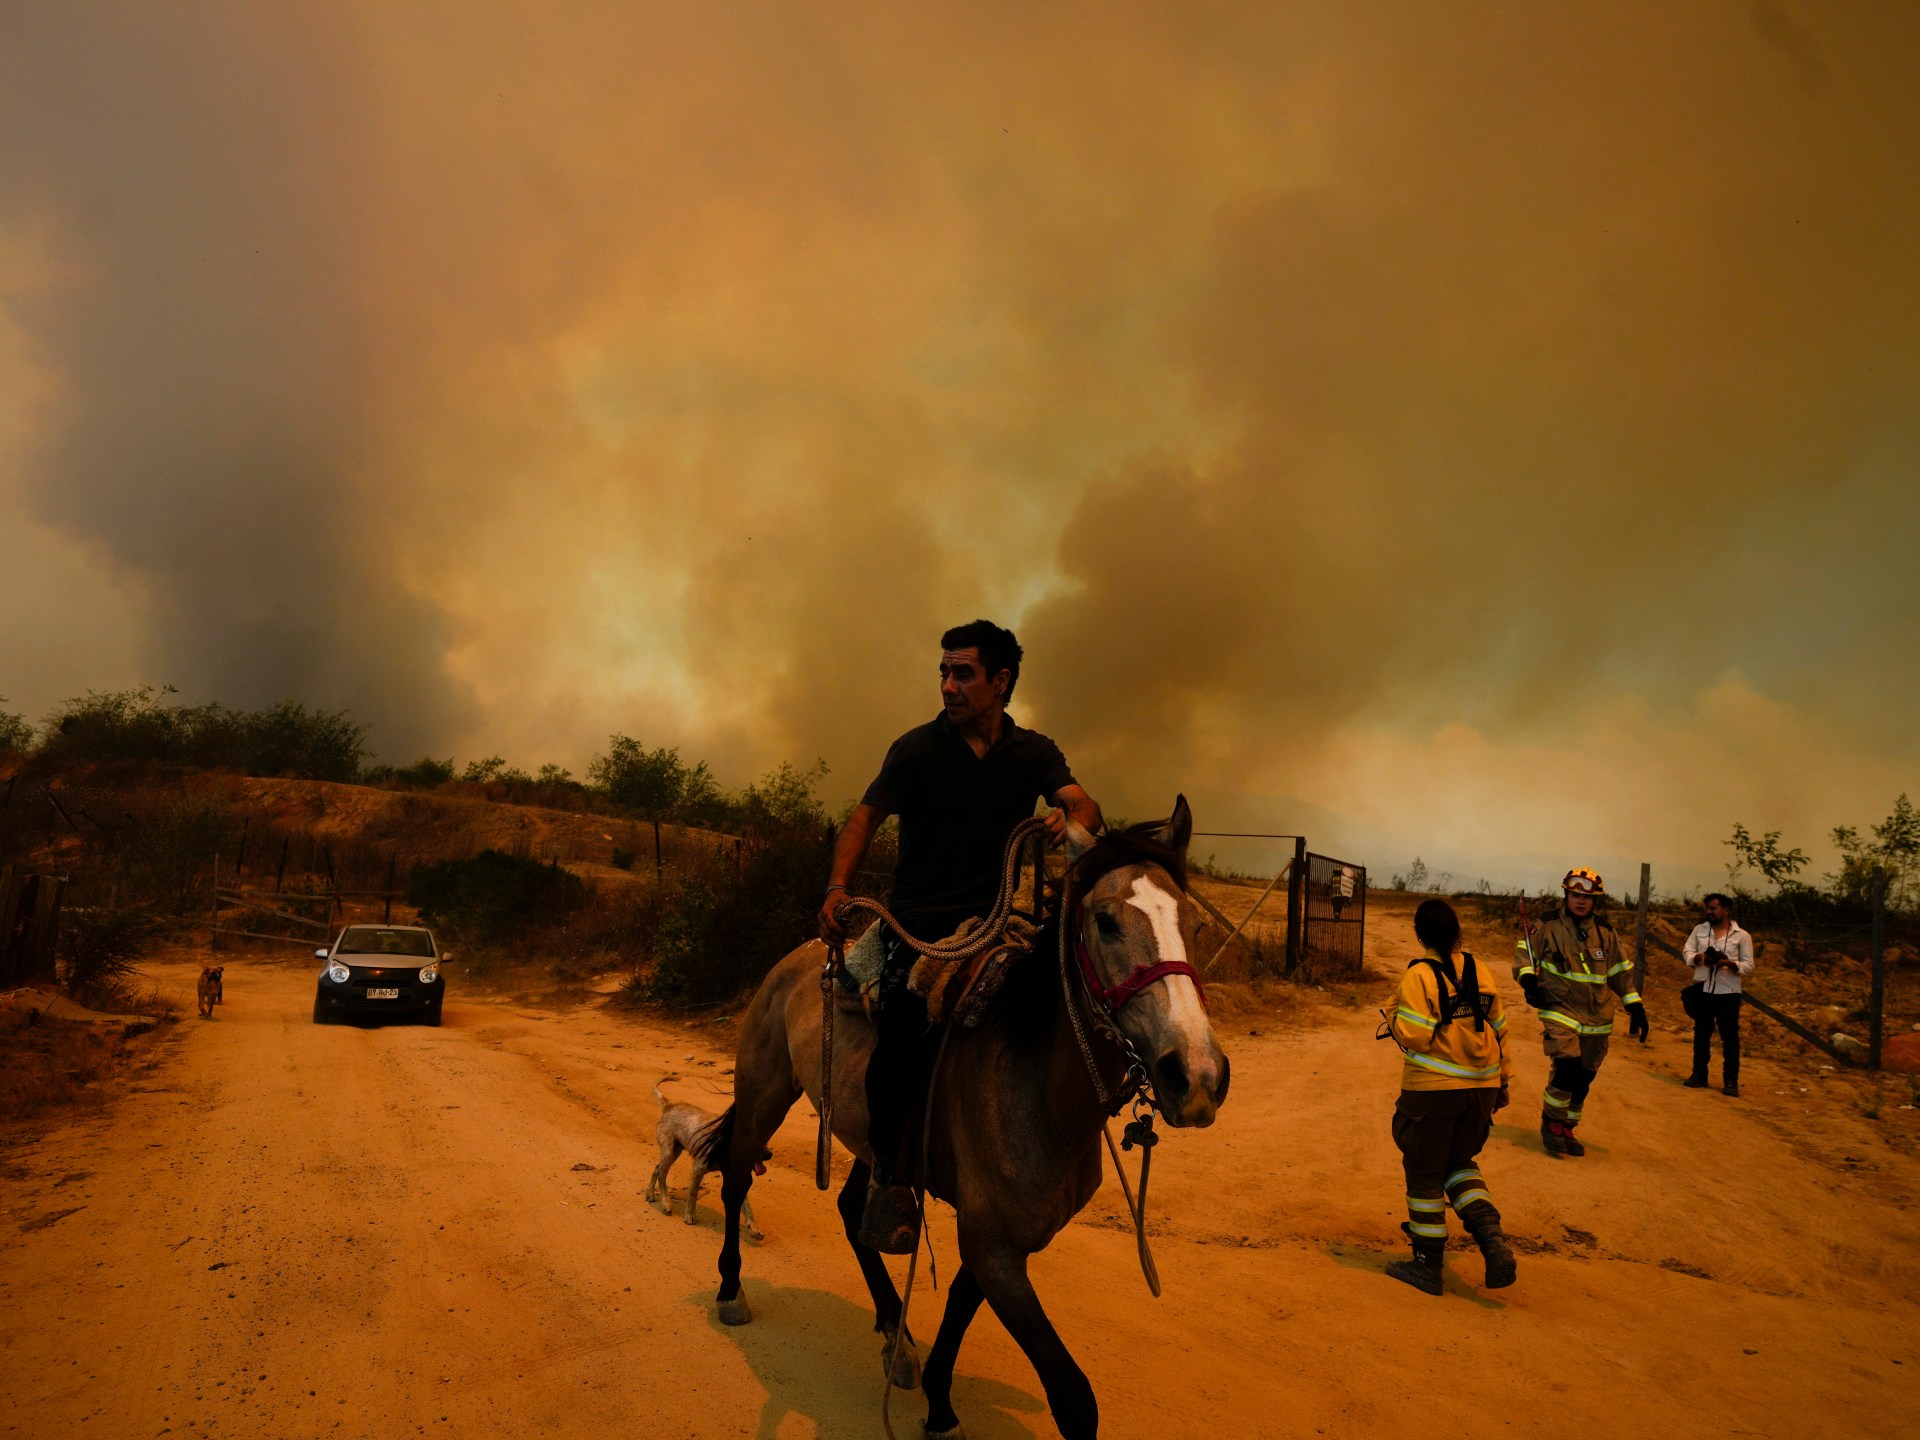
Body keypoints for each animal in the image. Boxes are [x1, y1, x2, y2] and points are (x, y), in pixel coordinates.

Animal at [695, 802, 1228, 1440]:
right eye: (1105, 922)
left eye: (1194, 924)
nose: (1196, 1075)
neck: (1035, 1081)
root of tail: (800, 956)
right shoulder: (991, 1240)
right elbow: (1073, 1397)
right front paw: (942, 1404)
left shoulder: (1007, 1237)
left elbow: (957, 1306)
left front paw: (940, 1404)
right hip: (764, 1095)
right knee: (735, 1181)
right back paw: (731, 1290)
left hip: (876, 1145)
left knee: (854, 1213)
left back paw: (895, 1337)